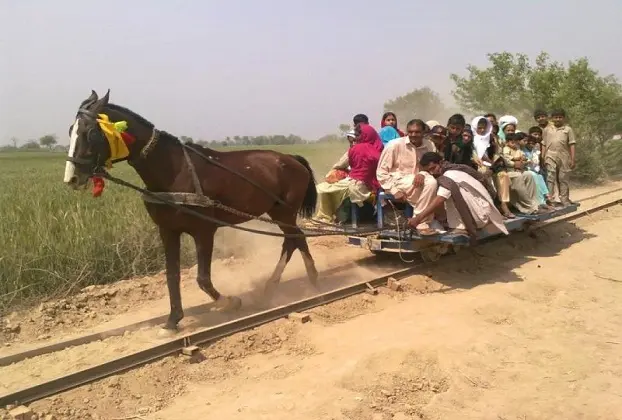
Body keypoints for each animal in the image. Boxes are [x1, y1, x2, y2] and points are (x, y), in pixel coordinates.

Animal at [64, 90, 322, 336]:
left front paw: (229, 302)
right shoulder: (167, 231)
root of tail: (292, 159)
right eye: (70, 131)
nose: (72, 178)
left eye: (91, 132)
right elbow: (172, 276)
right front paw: (172, 321)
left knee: (292, 240)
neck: (174, 172)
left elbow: (202, 278)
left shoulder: (204, 231)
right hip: (279, 212)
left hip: (284, 212)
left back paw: (294, 283)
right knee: (295, 239)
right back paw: (300, 281)